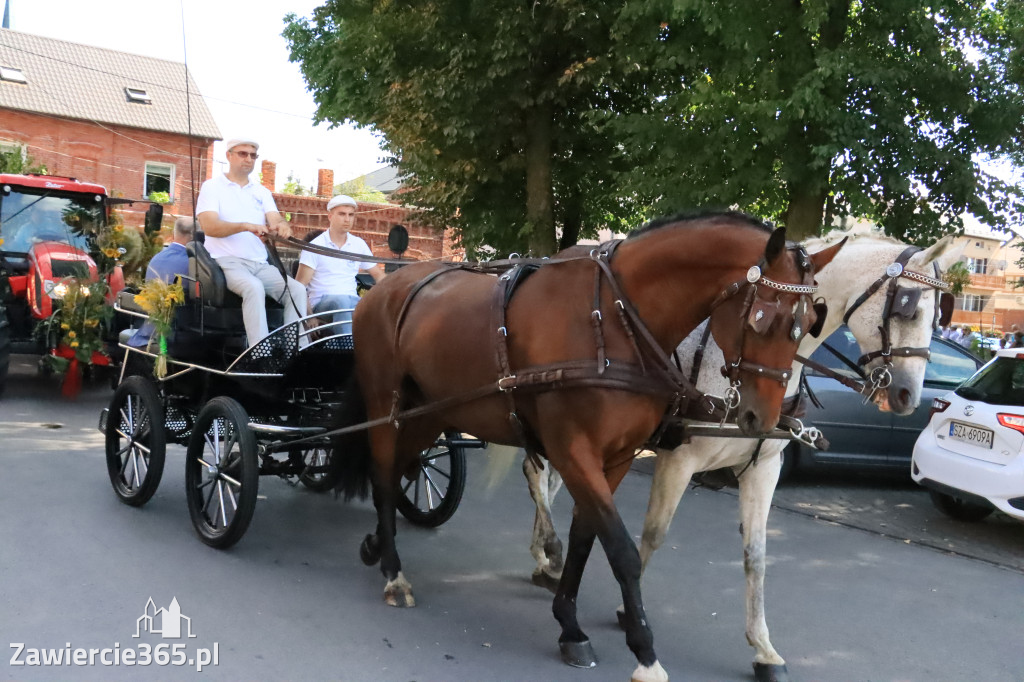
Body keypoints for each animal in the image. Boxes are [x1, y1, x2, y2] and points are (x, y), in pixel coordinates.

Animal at [331, 209, 843, 675]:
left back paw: (377, 544)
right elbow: (620, 549)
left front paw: (569, 625)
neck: (615, 321)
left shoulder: (615, 458)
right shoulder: (575, 451)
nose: (761, 418)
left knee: (401, 468)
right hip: (386, 408)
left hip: (429, 411)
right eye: (761, 318)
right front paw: (644, 652)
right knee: (383, 474)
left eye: (807, 324)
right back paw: (394, 572)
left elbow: (584, 538)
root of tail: (383, 286)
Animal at [524, 229, 962, 679]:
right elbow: (654, 533)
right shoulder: (679, 458)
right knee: (537, 475)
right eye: (909, 309)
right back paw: (548, 553)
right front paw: (631, 614)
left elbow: (756, 554)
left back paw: (546, 556)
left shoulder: (764, 468)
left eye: (938, 316)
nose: (908, 396)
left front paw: (764, 649)